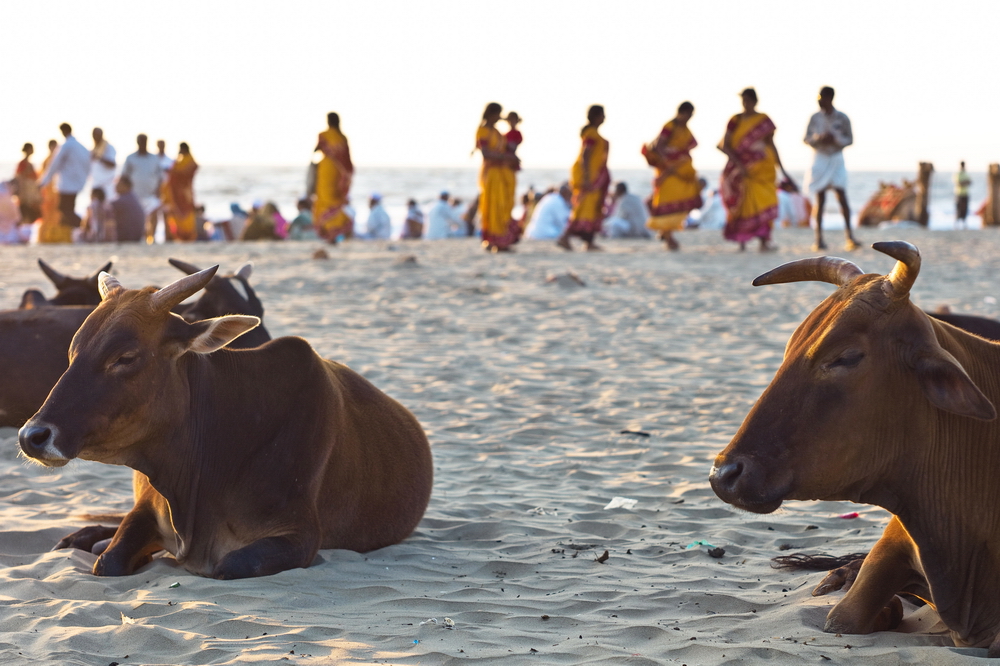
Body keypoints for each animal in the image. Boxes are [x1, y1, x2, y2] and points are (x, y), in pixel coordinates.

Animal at [19, 268, 432, 580]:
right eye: (72, 351)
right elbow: (110, 560)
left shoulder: (300, 535)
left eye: (125, 357)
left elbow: (228, 565)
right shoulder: (147, 507)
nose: (32, 436)